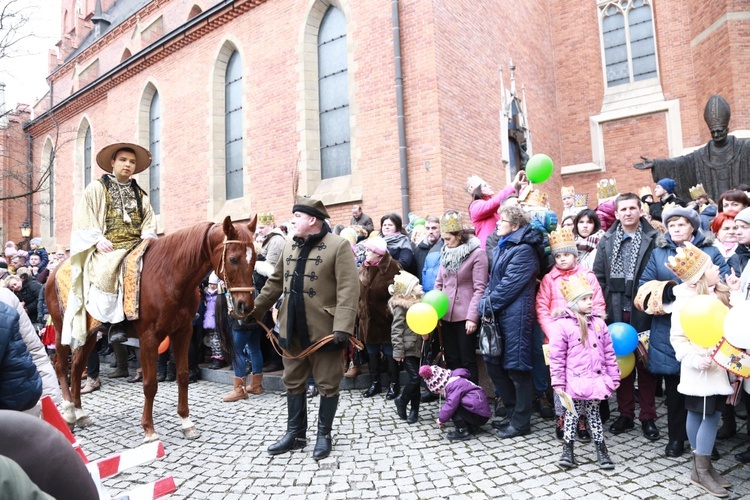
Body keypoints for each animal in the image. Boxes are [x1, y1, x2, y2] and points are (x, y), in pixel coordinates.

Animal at [47, 215, 258, 442]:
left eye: (255, 258)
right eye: (233, 259)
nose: (245, 306)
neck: (170, 276)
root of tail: (54, 272)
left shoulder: (183, 332)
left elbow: (183, 375)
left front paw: (186, 422)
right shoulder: (149, 338)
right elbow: (150, 384)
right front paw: (149, 429)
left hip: (89, 334)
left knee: (77, 367)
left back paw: (80, 413)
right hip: (62, 329)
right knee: (61, 366)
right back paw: (69, 413)